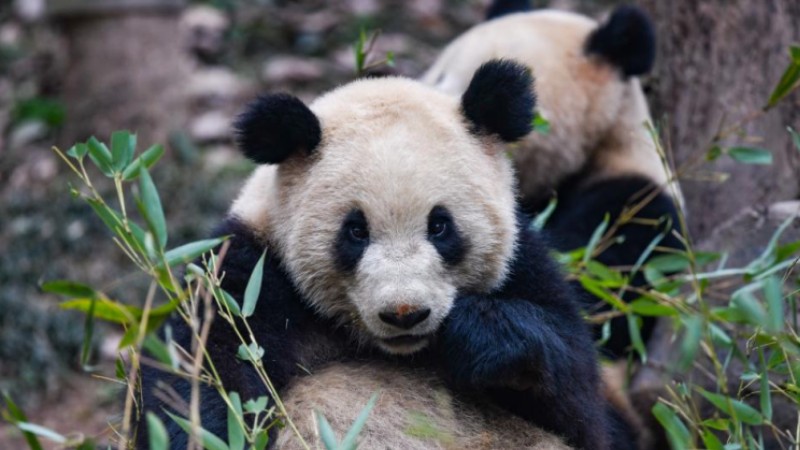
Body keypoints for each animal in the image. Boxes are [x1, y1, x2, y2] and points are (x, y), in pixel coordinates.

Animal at [137, 60, 639, 450]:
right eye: (356, 231)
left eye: (440, 226)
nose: (405, 313)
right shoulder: (249, 276)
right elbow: (205, 382)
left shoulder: (523, 264)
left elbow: (581, 401)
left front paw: (479, 335)